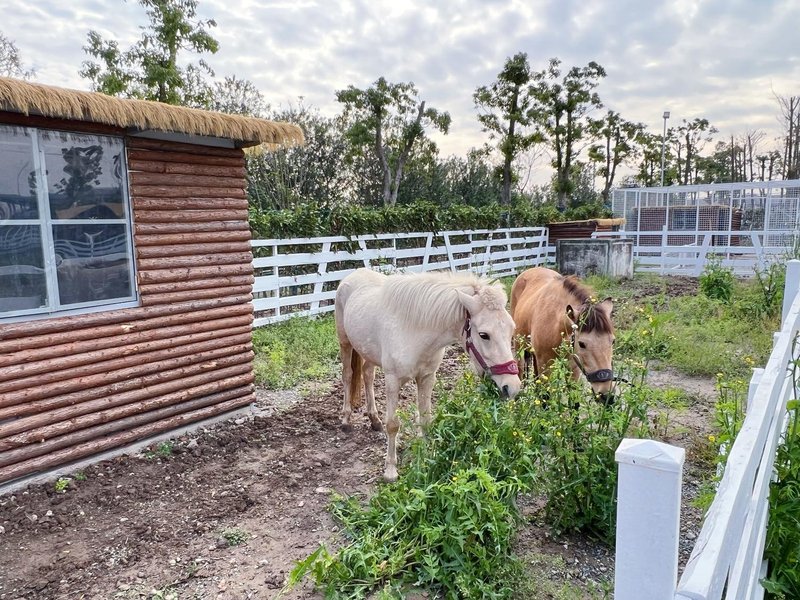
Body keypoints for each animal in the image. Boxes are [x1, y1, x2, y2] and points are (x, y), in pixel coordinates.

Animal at [335, 268, 522, 482]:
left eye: (511, 329)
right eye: (484, 335)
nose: (512, 387)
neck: (414, 330)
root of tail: (353, 274)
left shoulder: (426, 378)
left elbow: (425, 420)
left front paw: (425, 459)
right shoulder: (392, 381)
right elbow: (393, 425)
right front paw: (390, 470)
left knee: (367, 375)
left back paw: (374, 419)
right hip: (345, 342)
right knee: (348, 375)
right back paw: (346, 419)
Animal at [510, 267, 615, 404]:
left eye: (612, 341)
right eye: (582, 344)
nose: (606, 395)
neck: (555, 323)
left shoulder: (574, 368)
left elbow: (574, 402)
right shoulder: (545, 366)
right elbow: (545, 398)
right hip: (520, 347)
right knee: (521, 371)